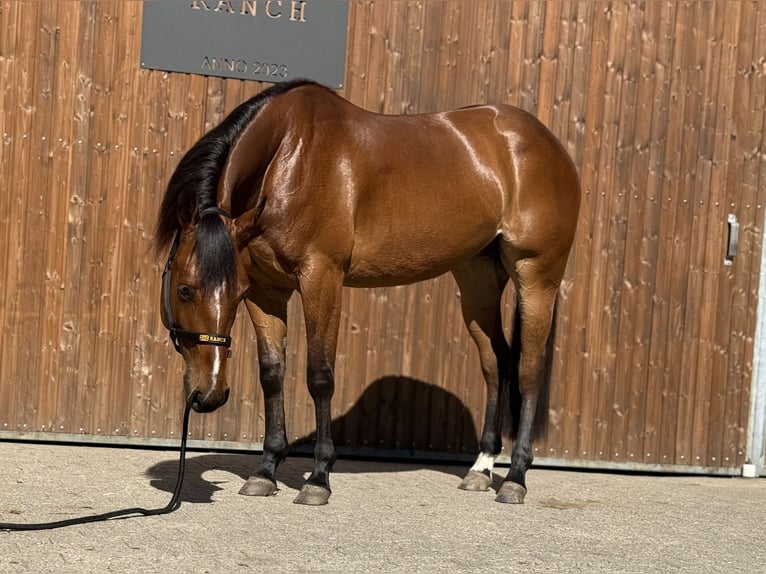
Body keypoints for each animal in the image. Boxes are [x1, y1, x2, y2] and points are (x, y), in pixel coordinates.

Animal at [155, 79, 580, 506]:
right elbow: (272, 374)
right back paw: (481, 468)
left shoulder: (321, 278)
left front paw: (318, 478)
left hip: (536, 277)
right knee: (496, 362)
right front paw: (265, 471)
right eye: (185, 289)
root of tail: (547, 144)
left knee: (528, 370)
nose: (208, 395)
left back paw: (515, 478)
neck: (290, 157)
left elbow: (319, 376)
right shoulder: (267, 291)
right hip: (477, 279)